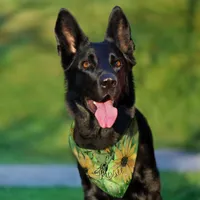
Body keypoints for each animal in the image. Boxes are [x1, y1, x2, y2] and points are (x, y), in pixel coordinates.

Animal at [54, 6, 162, 200]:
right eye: (86, 64)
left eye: (117, 63)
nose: (109, 82)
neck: (103, 138)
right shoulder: (91, 191)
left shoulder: (150, 186)